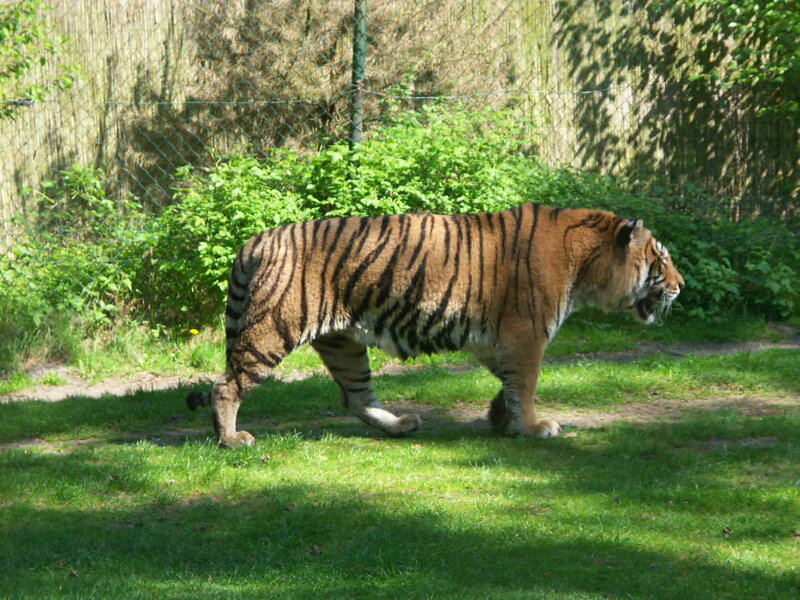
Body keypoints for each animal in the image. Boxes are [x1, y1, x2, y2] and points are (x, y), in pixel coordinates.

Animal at [186, 202, 684, 447]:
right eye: (661, 260)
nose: (681, 286)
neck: (588, 267)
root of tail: (255, 240)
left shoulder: (497, 340)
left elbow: (509, 384)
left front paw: (500, 418)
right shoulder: (527, 334)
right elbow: (525, 385)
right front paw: (533, 427)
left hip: (342, 343)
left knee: (356, 397)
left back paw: (400, 425)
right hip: (273, 329)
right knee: (227, 384)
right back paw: (231, 439)